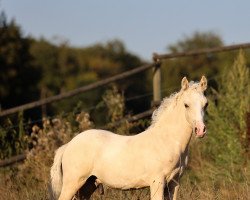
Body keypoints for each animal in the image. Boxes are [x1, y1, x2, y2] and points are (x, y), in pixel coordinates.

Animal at [49, 76, 208, 199]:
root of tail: (68, 145)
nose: (200, 130)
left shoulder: (174, 183)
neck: (167, 141)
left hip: (87, 186)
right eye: (186, 105)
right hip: (73, 183)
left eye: (205, 104)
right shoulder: (157, 182)